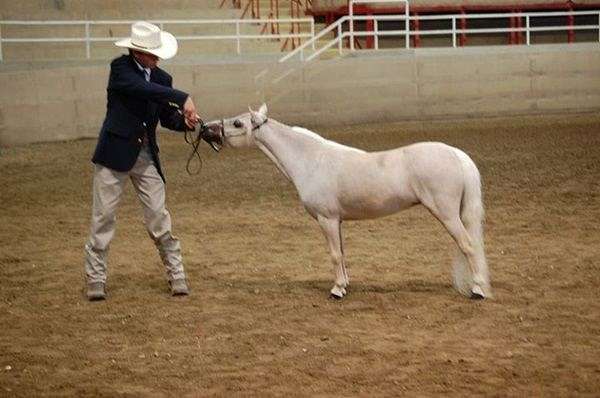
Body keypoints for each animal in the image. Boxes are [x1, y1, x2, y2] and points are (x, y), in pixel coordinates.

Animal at [207, 104, 492, 300]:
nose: (208, 128)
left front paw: (336, 290)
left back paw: (477, 290)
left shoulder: (327, 219)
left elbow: (334, 255)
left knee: (468, 246)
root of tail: (456, 154)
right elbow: (342, 254)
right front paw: (344, 284)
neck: (311, 160)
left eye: (237, 123)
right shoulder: (338, 221)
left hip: (447, 215)